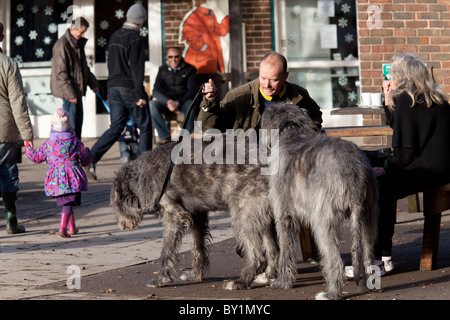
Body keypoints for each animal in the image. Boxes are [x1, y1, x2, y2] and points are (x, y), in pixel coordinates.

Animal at [110, 138, 278, 290]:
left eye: (114, 202)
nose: (121, 225)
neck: (141, 174)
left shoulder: (174, 215)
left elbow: (166, 249)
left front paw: (161, 279)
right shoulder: (197, 215)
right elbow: (197, 247)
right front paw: (195, 274)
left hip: (243, 213)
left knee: (257, 254)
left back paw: (241, 282)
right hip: (261, 214)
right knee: (272, 248)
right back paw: (267, 276)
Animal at [260, 103, 380, 300]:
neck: (290, 130)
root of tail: (355, 174)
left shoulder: (284, 213)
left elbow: (285, 248)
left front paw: (282, 281)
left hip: (324, 218)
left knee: (335, 260)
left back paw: (330, 293)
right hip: (368, 214)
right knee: (368, 254)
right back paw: (368, 286)